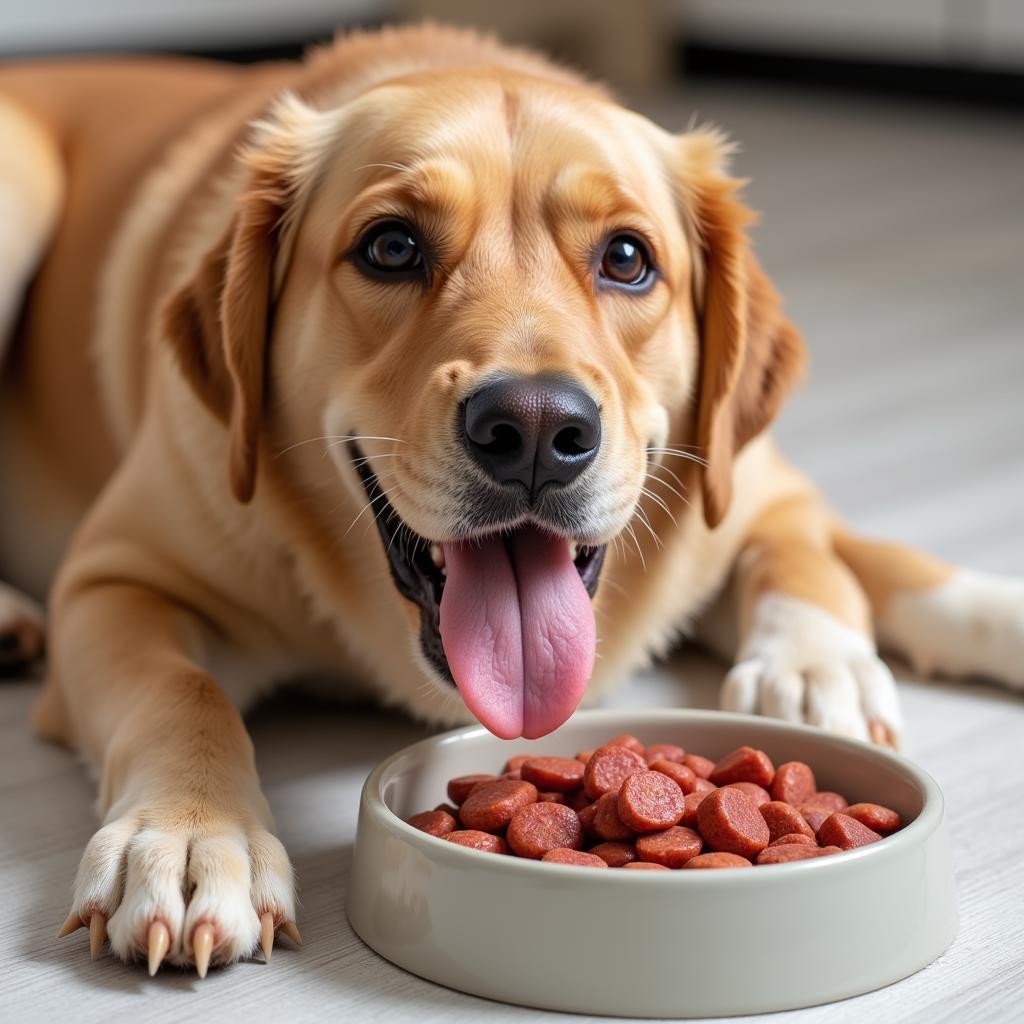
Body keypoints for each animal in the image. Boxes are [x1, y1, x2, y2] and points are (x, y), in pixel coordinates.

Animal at [2, 24, 1024, 974]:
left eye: (627, 258)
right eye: (391, 246)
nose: (535, 430)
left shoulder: (758, 486)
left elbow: (853, 560)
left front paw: (817, 667)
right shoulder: (117, 577)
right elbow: (183, 691)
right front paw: (188, 836)